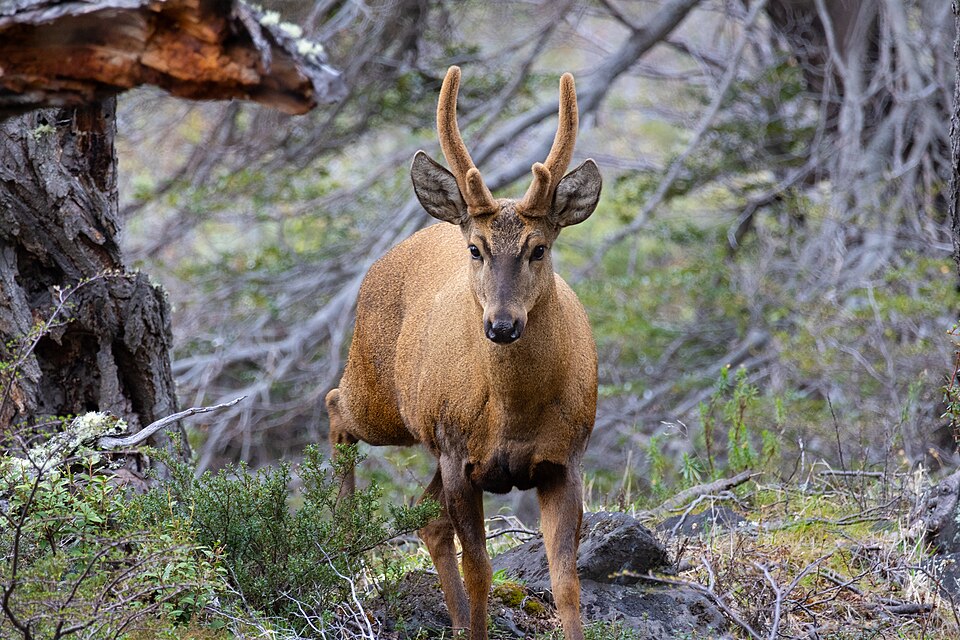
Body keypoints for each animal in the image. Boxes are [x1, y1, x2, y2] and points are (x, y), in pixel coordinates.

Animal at [325, 66, 601, 640]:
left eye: (539, 248)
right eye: (476, 249)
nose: (501, 325)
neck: (513, 415)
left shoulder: (565, 459)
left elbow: (566, 581)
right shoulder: (459, 455)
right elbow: (481, 571)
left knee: (427, 516)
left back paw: (449, 620)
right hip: (382, 396)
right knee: (335, 402)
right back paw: (342, 530)